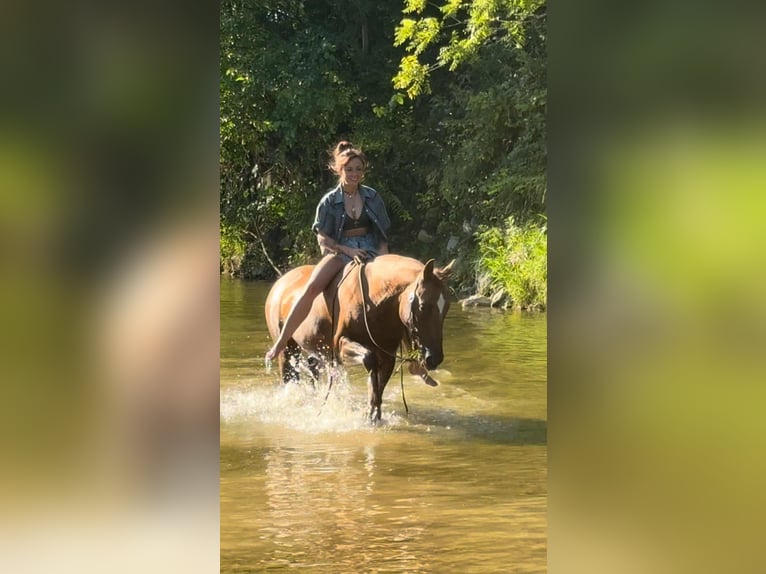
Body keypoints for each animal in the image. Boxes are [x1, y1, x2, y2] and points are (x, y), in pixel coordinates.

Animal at [264, 254, 455, 421]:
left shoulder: (387, 355)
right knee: (290, 376)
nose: (434, 358)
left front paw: (373, 415)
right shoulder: (342, 345)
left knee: (314, 369)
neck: (374, 303)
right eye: (422, 306)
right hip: (288, 350)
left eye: (446, 307)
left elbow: (378, 385)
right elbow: (369, 361)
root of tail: (279, 284)